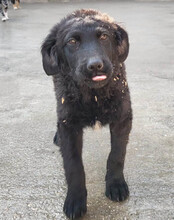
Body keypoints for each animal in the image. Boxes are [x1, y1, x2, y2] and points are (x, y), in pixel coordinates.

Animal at [41, 9, 133, 219]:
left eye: (104, 37)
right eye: (72, 42)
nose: (95, 66)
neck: (94, 96)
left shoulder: (123, 117)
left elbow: (117, 154)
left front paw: (116, 184)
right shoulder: (69, 125)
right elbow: (73, 165)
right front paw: (75, 199)